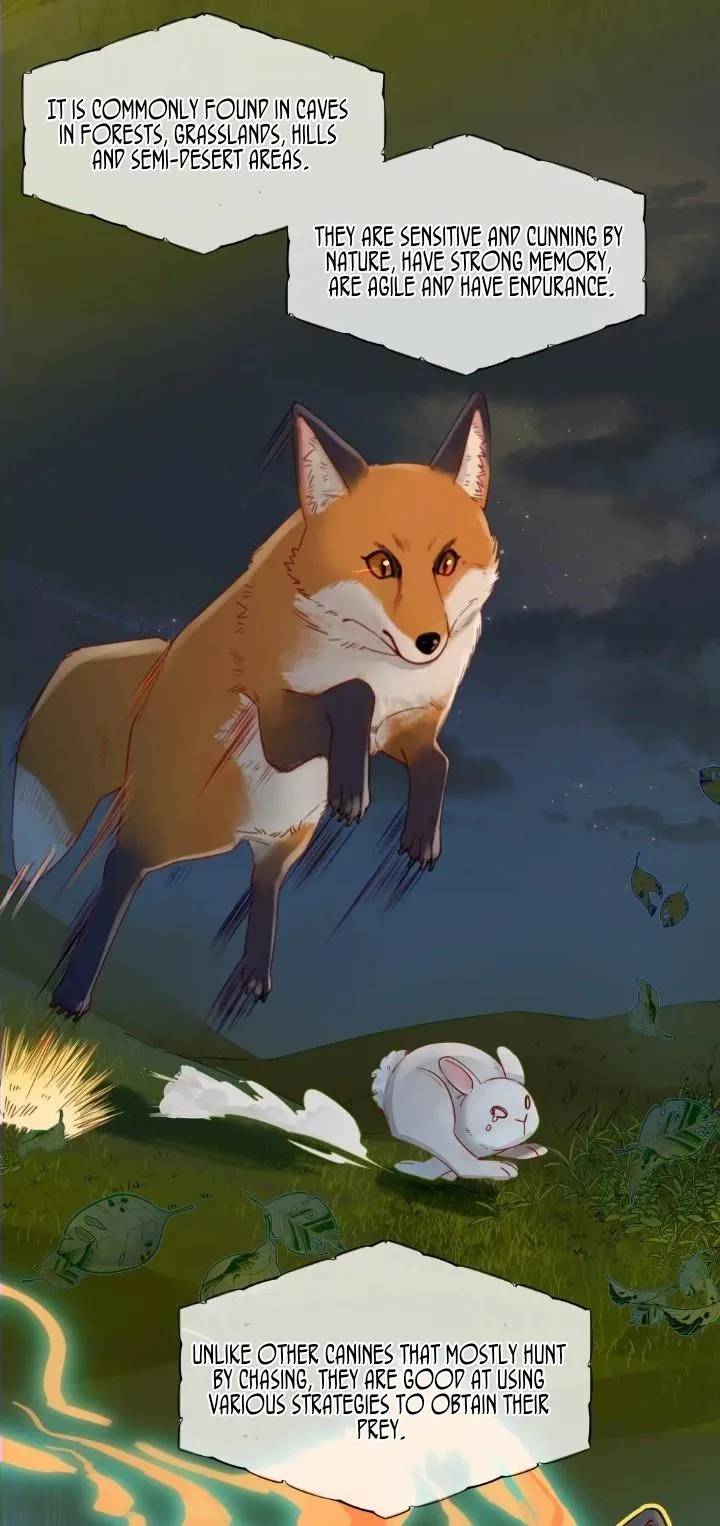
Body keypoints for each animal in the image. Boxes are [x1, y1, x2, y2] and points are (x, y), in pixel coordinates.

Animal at [10, 392, 499, 1023]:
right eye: (382, 564)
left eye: (447, 562)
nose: (429, 642)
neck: (375, 660)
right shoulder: (280, 727)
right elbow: (351, 696)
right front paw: (351, 789)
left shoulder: (406, 728)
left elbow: (437, 761)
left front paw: (419, 835)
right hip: (172, 830)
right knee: (120, 872)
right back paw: (73, 994)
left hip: (288, 835)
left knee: (265, 883)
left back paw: (254, 976)